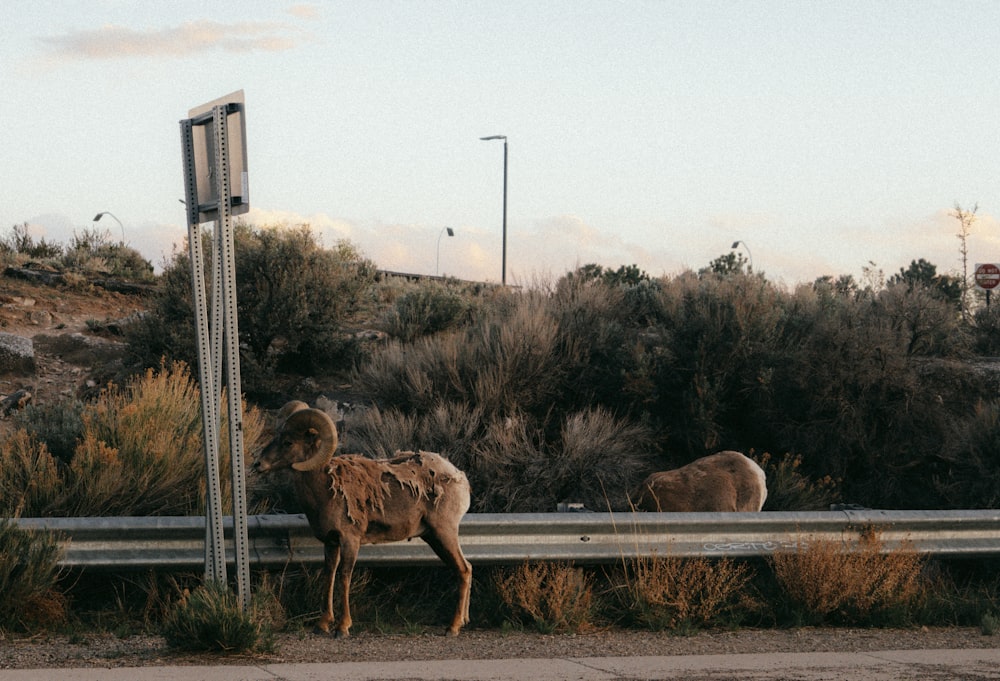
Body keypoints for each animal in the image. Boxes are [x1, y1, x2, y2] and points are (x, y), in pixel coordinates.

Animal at [254, 402, 472, 636]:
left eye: (288, 442)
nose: (258, 464)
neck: (325, 490)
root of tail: (460, 477)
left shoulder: (350, 540)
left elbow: (344, 576)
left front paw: (342, 627)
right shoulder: (331, 543)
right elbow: (329, 575)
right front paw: (322, 625)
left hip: (444, 533)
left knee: (463, 570)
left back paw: (453, 627)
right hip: (433, 537)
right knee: (466, 568)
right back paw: (463, 621)